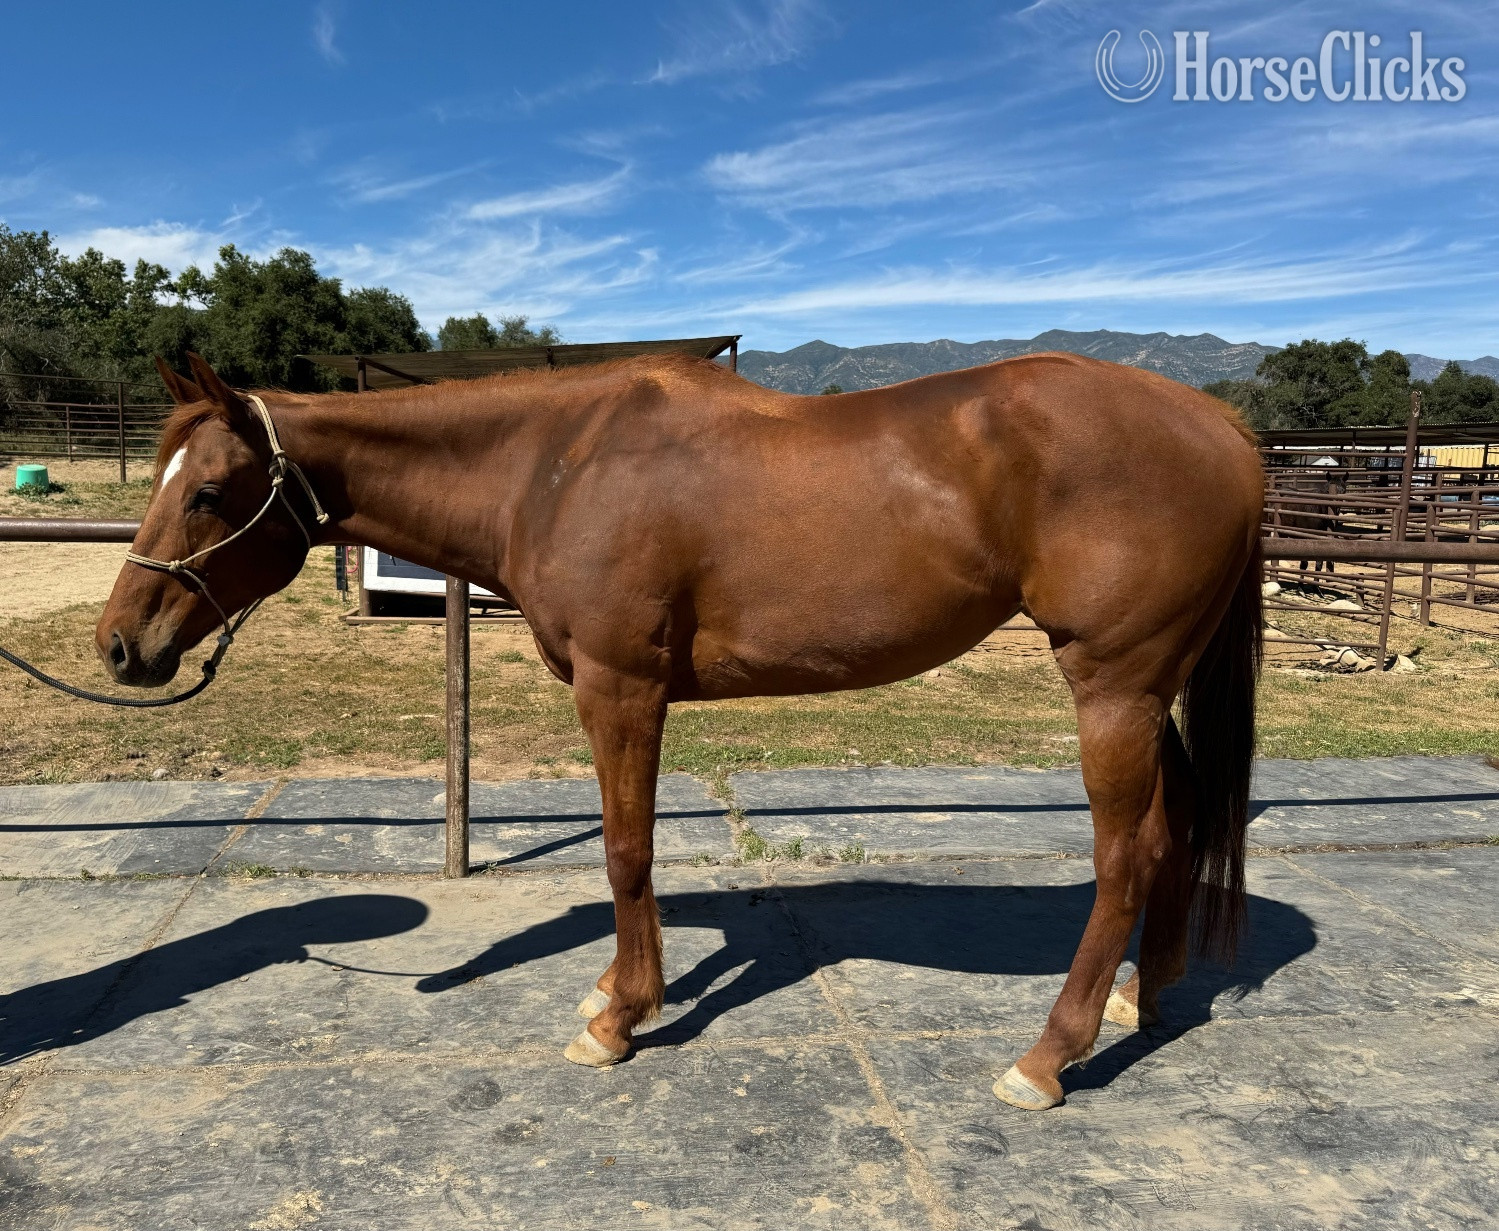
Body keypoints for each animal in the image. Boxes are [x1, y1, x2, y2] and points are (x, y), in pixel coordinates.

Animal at [98, 350, 1264, 1112]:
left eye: (210, 493)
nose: (119, 646)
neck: (553, 465)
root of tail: (1227, 432)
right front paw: (616, 992)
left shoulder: (619, 690)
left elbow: (627, 853)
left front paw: (619, 1019)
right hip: (1143, 690)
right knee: (1171, 831)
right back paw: (1143, 999)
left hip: (1109, 687)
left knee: (1121, 857)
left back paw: (1046, 1058)